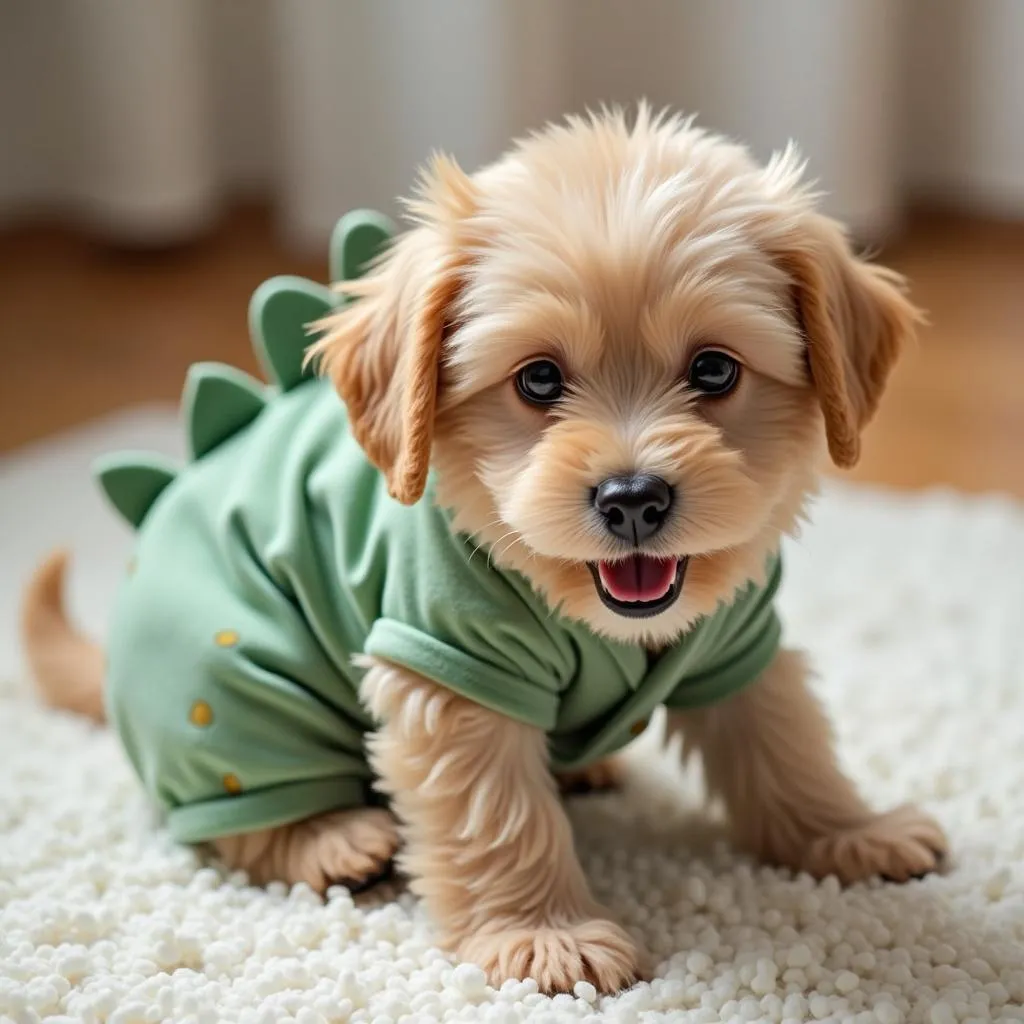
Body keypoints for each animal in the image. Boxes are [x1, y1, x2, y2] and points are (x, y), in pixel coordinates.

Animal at [22, 108, 942, 995]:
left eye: (715, 370)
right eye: (538, 380)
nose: (632, 498)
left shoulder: (740, 641)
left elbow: (786, 742)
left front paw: (848, 832)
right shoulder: (450, 666)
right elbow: (497, 814)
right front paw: (544, 934)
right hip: (229, 683)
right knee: (233, 814)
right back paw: (328, 838)